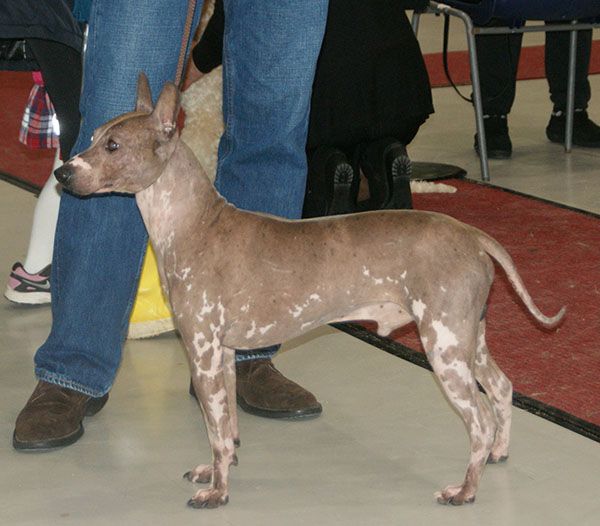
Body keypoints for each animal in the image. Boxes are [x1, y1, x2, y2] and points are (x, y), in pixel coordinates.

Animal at [54, 72, 564, 510]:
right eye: (95, 135)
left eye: (114, 145)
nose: (62, 173)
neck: (194, 223)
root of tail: (472, 234)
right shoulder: (224, 354)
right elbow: (227, 427)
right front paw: (218, 469)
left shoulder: (202, 353)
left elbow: (215, 430)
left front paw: (218, 491)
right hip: (469, 338)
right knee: (502, 389)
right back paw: (498, 453)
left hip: (444, 346)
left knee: (479, 420)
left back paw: (466, 489)